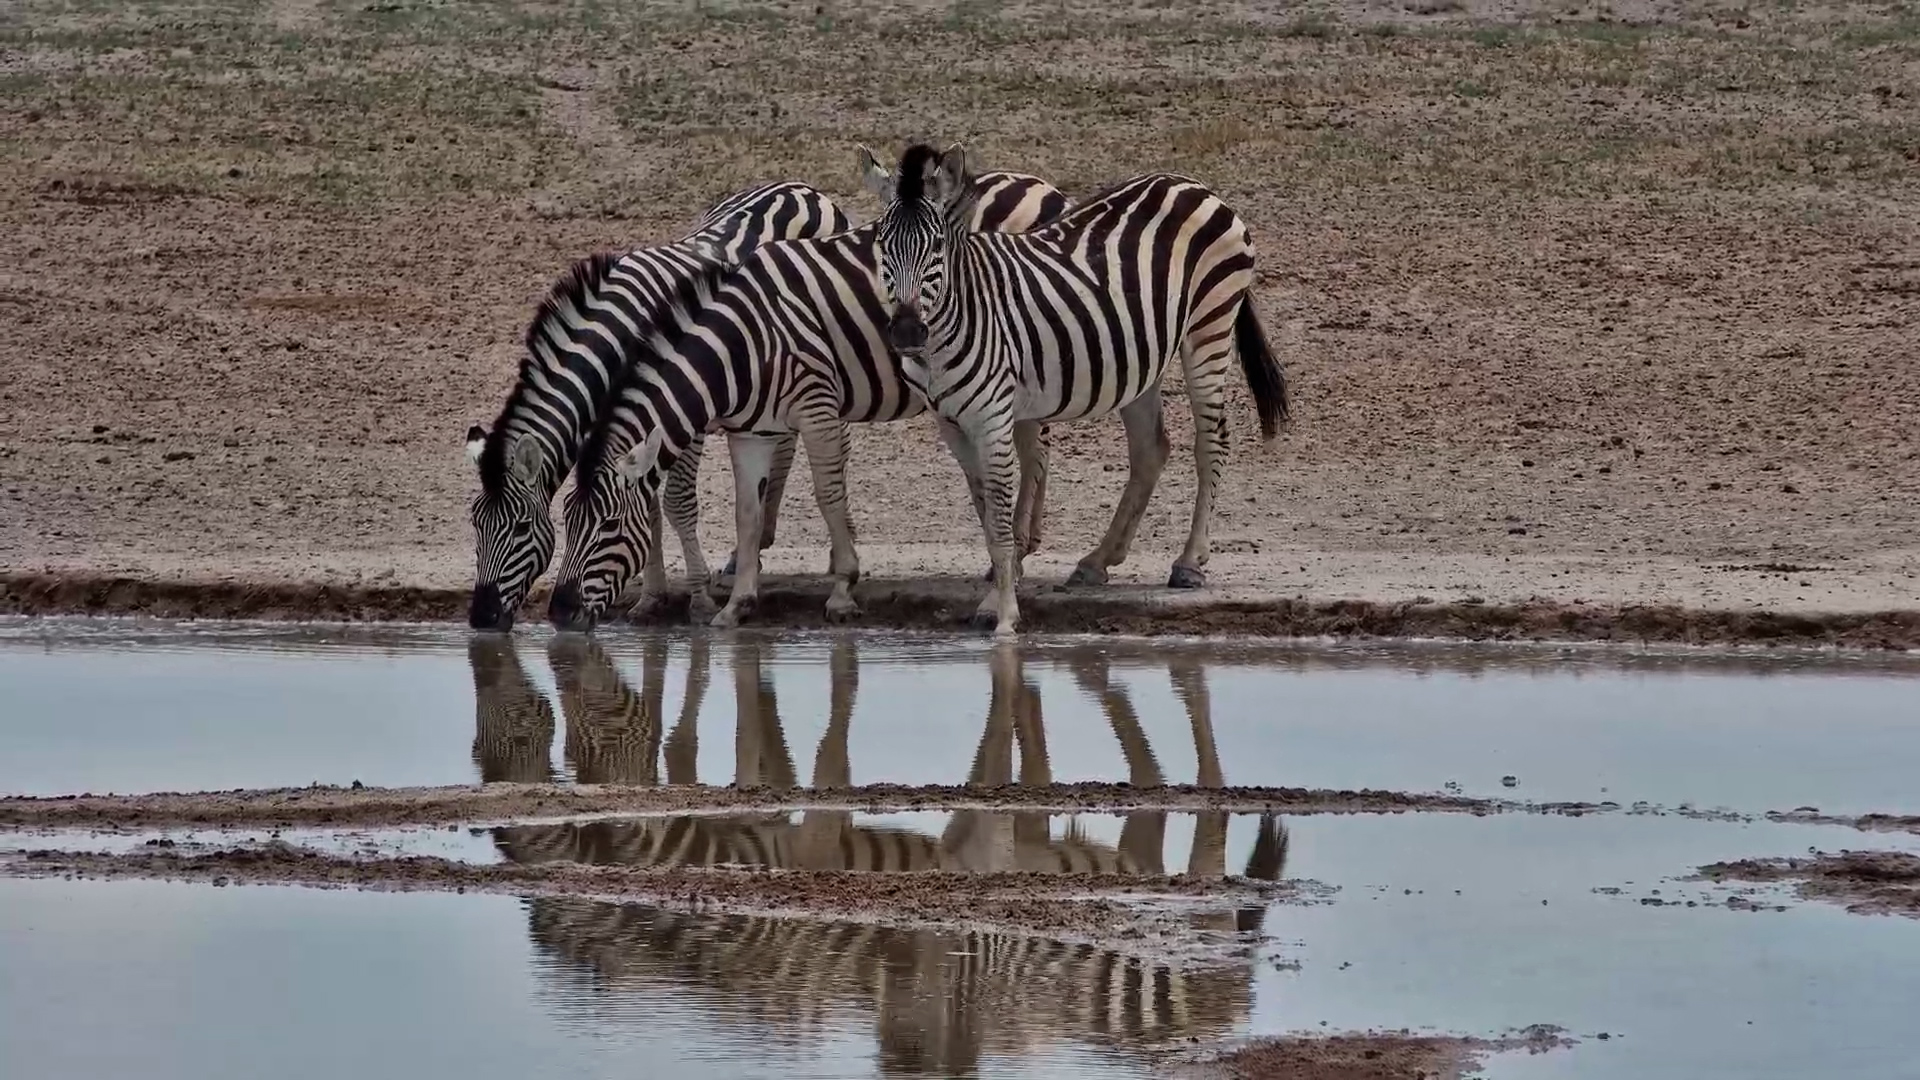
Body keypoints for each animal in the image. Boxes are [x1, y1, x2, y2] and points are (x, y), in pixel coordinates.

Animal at [464, 180, 853, 632]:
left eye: (522, 528)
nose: (482, 618)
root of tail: (800, 186)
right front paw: (651, 597)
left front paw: (698, 598)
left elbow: (676, 504)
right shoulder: (630, 425)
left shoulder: (683, 411)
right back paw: (749, 551)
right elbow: (645, 506)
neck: (617, 337)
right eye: (476, 524)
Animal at [544, 159, 1071, 632]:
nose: (559, 614)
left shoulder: (801, 408)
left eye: (608, 526)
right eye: (563, 522)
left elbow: (819, 493)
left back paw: (1024, 555)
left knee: (1036, 451)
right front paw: (722, 600)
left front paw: (836, 589)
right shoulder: (749, 424)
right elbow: (741, 508)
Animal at [866, 143, 1291, 635]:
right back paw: (1097, 561)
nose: (907, 331)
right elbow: (986, 513)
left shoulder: (993, 416)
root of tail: (1192, 184)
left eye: (936, 246)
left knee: (1212, 440)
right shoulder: (951, 424)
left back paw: (1189, 563)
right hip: (1140, 355)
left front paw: (1000, 611)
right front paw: (999, 592)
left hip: (1210, 325)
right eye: (881, 246)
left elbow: (1000, 520)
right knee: (1151, 448)